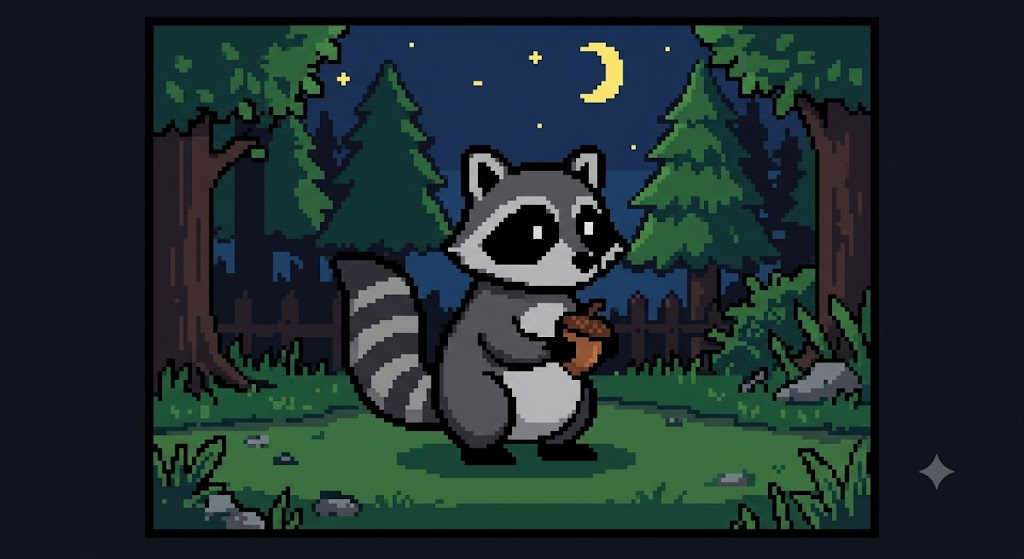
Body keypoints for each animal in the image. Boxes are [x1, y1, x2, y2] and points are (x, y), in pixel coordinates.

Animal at [332, 145, 625, 466]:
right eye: (536, 229)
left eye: (590, 225)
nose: (586, 259)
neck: (541, 289)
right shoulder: (492, 308)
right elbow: (504, 342)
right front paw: (555, 344)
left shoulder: (567, 303)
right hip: (474, 395)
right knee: (487, 409)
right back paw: (486, 452)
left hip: (575, 398)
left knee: (583, 402)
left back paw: (559, 446)